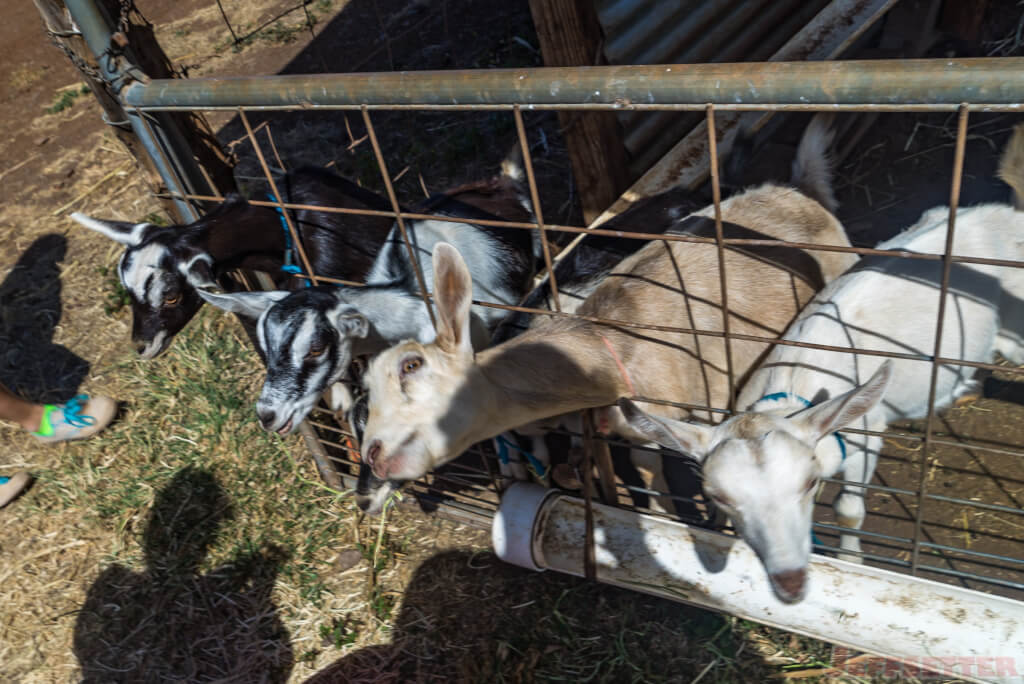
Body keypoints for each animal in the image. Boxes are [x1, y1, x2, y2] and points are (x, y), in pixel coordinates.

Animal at [619, 127, 1024, 604]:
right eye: (719, 496)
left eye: (809, 483)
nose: (790, 582)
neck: (793, 385)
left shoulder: (867, 433)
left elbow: (848, 508)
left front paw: (852, 560)